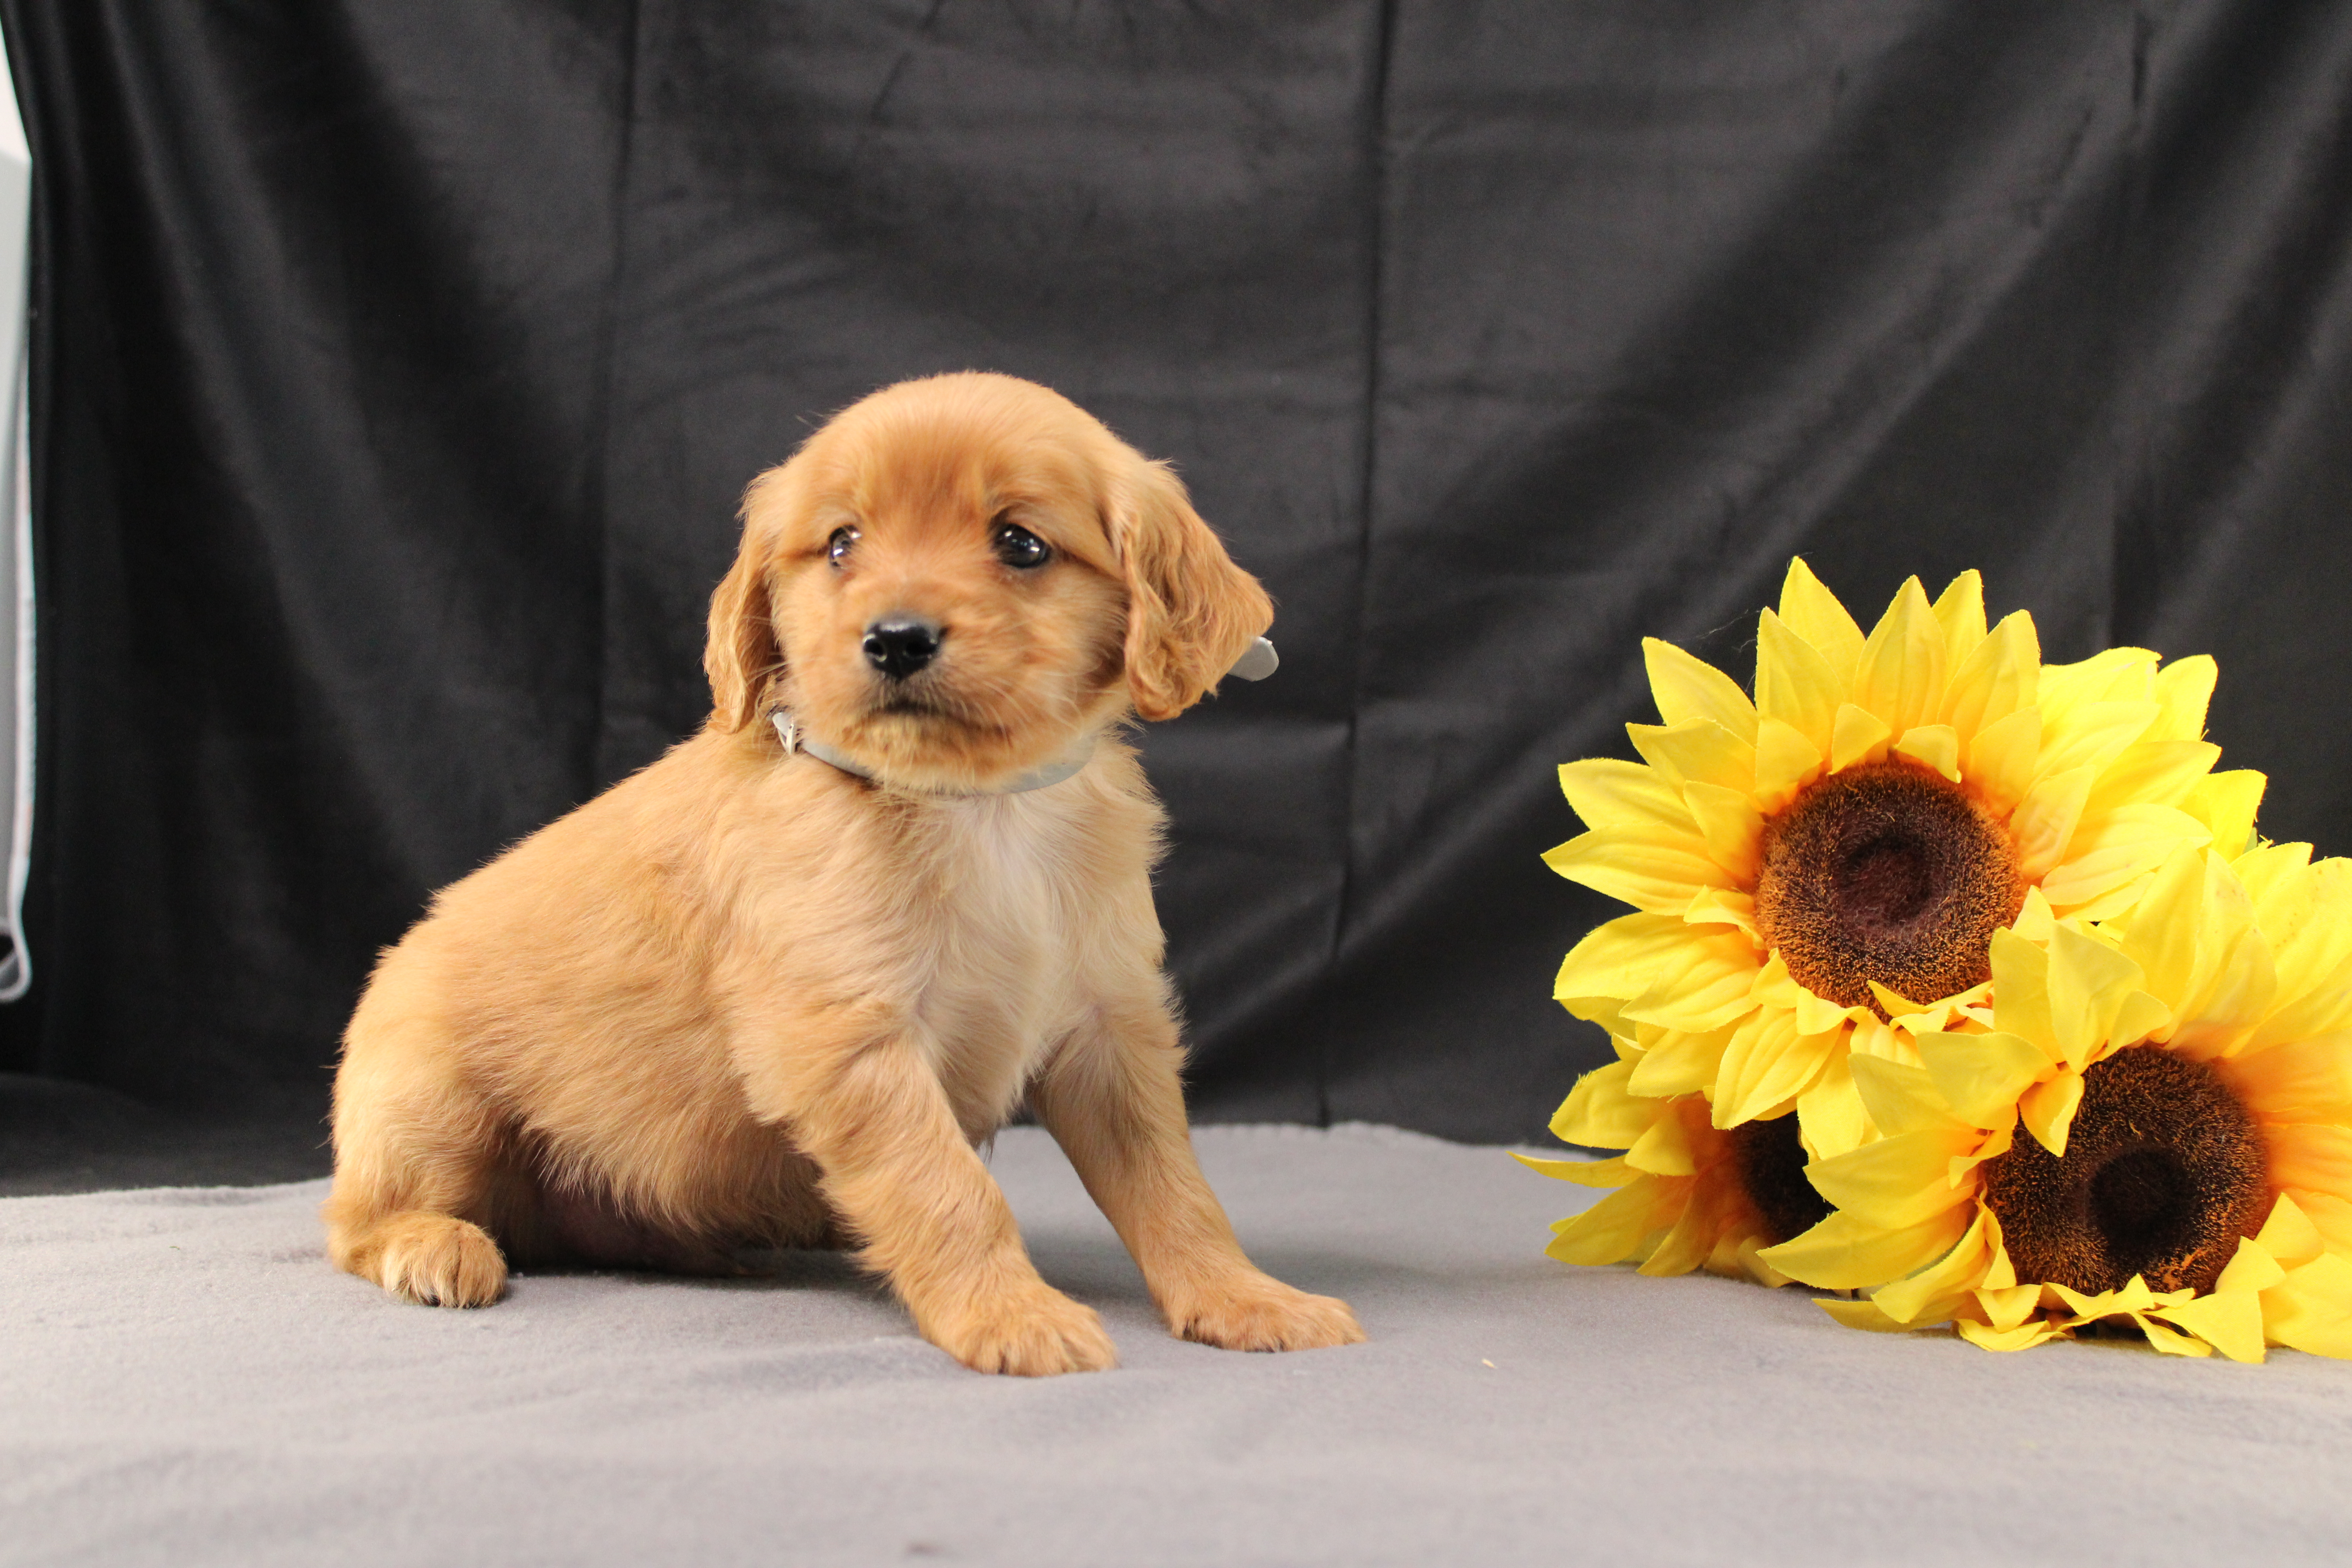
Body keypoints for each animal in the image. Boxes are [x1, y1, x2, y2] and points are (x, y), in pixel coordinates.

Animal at [322, 369, 1374, 1373]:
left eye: (1021, 543)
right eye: (840, 544)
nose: (896, 638)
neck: (982, 809)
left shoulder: (1108, 1031)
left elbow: (1175, 1185)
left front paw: (1244, 1298)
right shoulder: (847, 1039)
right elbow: (949, 1187)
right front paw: (1012, 1314)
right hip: (428, 1098)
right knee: (353, 1223)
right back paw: (437, 1245)